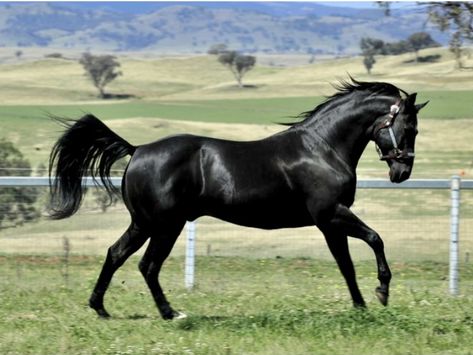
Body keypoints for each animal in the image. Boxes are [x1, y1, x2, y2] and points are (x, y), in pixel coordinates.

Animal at [48, 78, 428, 320]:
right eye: (409, 128)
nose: (402, 171)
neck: (322, 148)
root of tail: (137, 149)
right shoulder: (331, 215)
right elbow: (373, 241)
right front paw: (380, 293)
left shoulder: (330, 222)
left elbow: (347, 263)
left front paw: (362, 306)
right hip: (164, 225)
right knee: (147, 265)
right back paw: (171, 313)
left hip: (145, 223)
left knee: (117, 254)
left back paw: (101, 308)